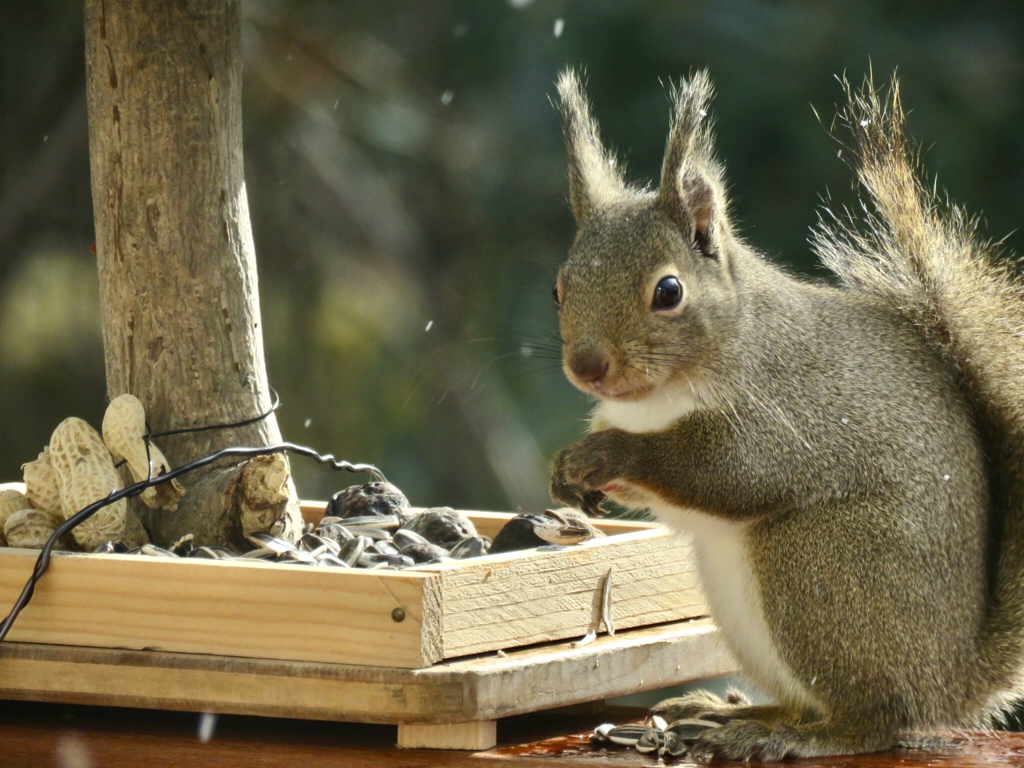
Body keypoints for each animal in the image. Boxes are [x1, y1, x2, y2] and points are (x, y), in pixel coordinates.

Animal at [552, 70, 1024, 765]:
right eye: (559, 288)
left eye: (669, 292)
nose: (586, 366)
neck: (660, 397)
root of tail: (952, 679)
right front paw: (570, 470)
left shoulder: (781, 412)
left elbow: (730, 471)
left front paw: (612, 455)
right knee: (806, 700)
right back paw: (736, 714)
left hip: (816, 566)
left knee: (874, 720)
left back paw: (801, 735)